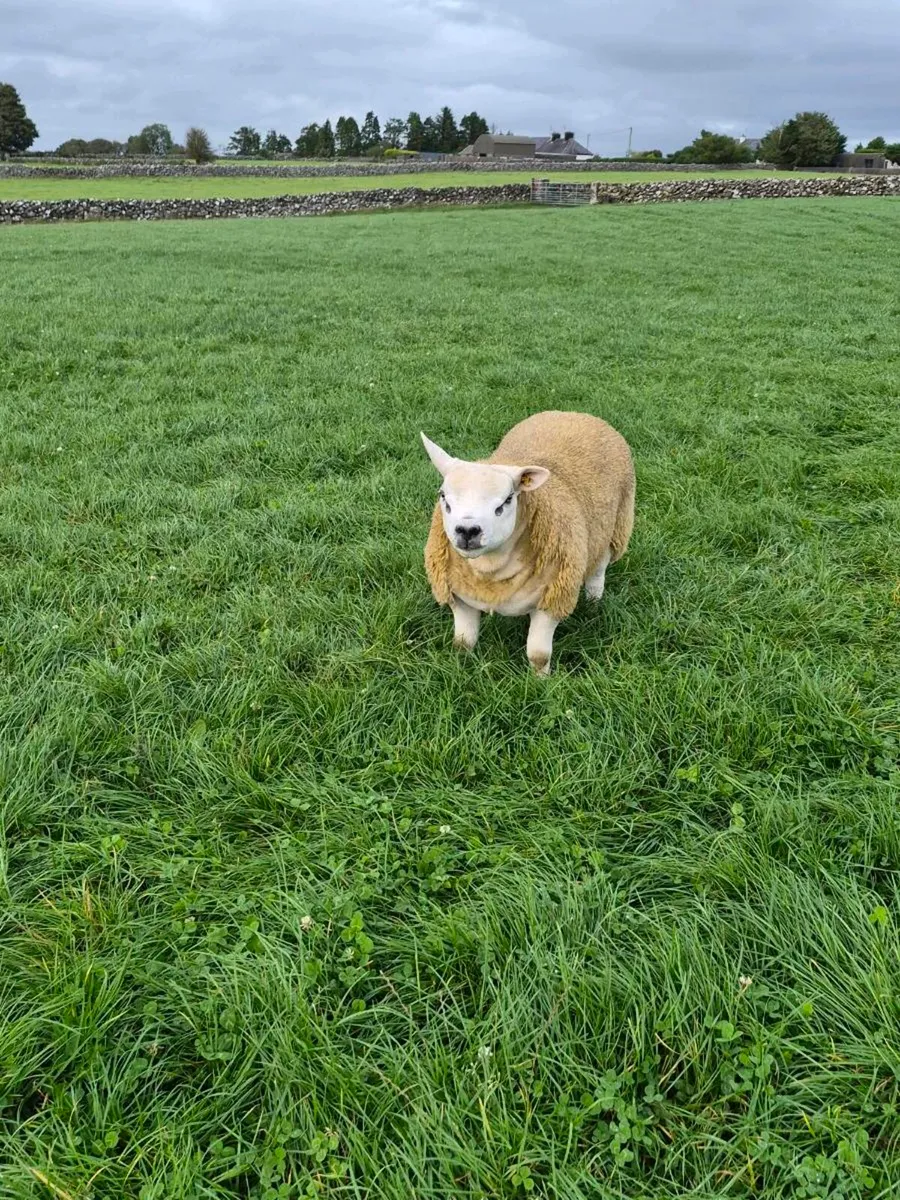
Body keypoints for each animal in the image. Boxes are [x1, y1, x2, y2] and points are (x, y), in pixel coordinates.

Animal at [421, 410, 635, 675]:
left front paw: (540, 680)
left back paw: (593, 603)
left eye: (507, 500)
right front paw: (460, 669)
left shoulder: (553, 597)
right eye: (443, 497)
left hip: (614, 528)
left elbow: (539, 654)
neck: (490, 570)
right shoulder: (458, 596)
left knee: (598, 571)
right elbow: (463, 642)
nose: (467, 531)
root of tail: (574, 414)